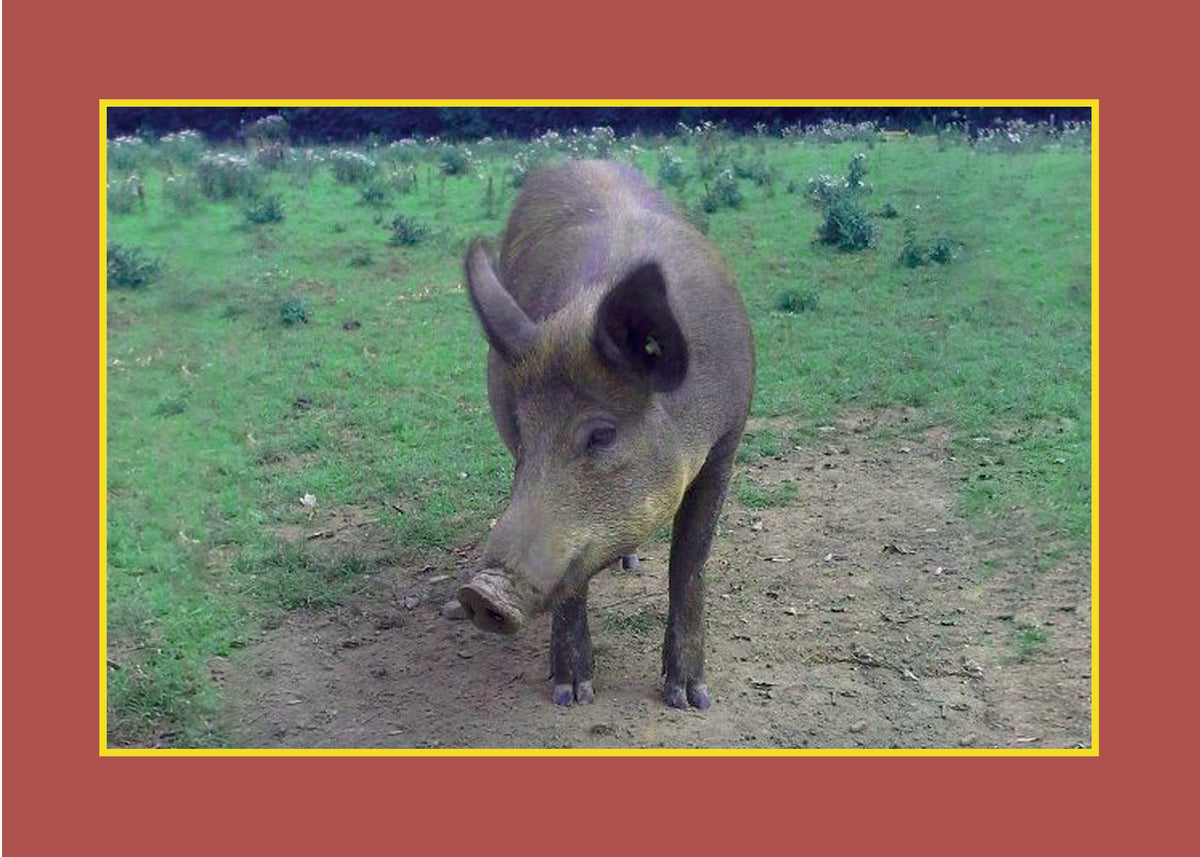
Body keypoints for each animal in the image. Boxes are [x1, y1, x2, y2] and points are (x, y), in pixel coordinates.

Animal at [457, 160, 754, 710]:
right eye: (525, 439)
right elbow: (575, 580)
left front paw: (689, 698)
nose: (480, 592)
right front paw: (571, 693)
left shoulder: (726, 443)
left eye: (601, 436)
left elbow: (689, 563)